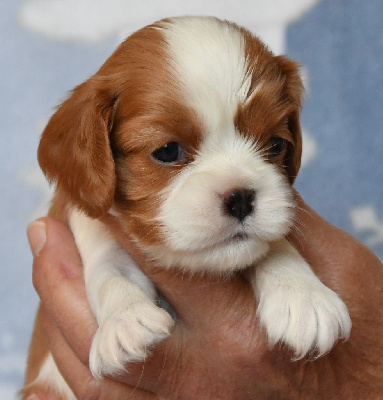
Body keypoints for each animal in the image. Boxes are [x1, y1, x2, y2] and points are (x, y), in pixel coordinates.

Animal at [20, 16, 352, 400]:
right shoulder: (92, 229)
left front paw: (303, 296)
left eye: (275, 144)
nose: (241, 197)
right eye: (167, 151)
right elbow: (110, 273)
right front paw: (126, 320)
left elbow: (273, 246)